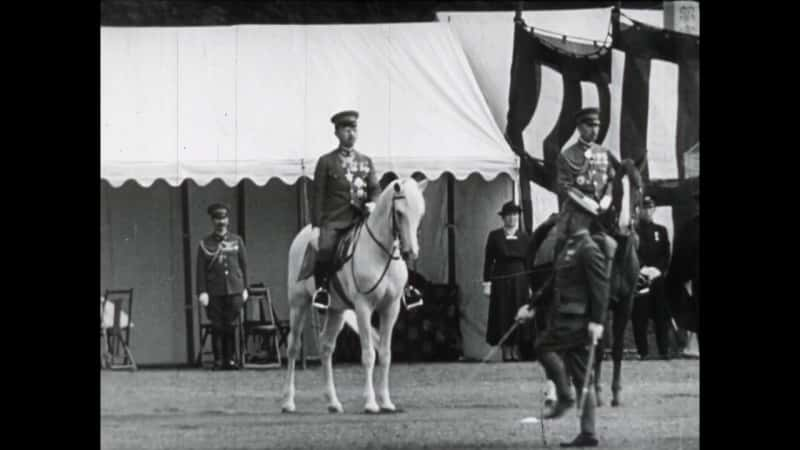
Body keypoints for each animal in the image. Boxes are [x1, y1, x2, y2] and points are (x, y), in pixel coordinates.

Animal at [282, 178, 428, 414]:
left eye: (420, 213)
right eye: (399, 213)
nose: (410, 252)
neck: (381, 254)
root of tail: (303, 234)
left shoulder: (391, 308)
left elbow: (385, 354)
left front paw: (386, 402)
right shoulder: (363, 307)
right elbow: (369, 354)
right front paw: (370, 403)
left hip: (336, 310)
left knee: (326, 347)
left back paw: (333, 402)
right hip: (298, 304)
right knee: (293, 347)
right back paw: (288, 401)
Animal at [532, 162, 644, 408]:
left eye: (638, 187)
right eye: (617, 189)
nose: (624, 226)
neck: (617, 254)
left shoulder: (625, 304)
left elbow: (617, 347)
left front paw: (616, 393)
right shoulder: (599, 301)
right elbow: (599, 347)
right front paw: (598, 393)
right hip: (546, 304)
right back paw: (553, 392)